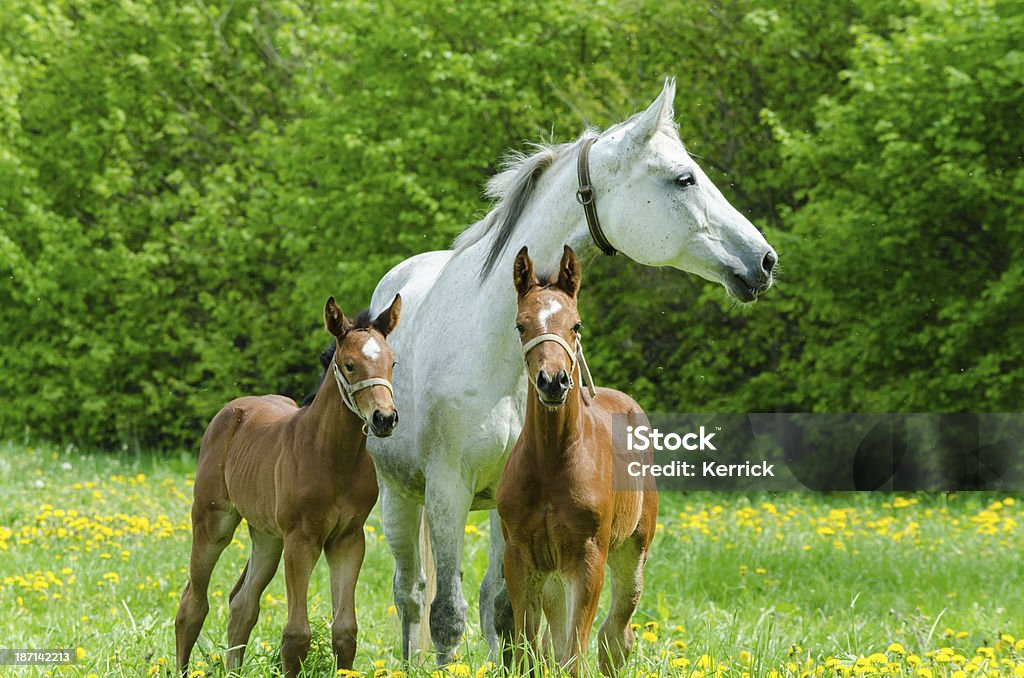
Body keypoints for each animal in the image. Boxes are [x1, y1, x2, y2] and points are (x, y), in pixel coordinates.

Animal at [174, 297, 401, 678]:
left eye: (392, 362)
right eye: (350, 365)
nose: (384, 418)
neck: (332, 456)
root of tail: (232, 409)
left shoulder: (348, 540)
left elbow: (345, 632)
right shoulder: (301, 538)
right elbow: (296, 635)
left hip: (267, 536)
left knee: (243, 604)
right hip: (213, 522)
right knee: (193, 603)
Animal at [495, 246, 655, 675]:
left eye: (576, 324)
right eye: (520, 325)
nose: (554, 381)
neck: (553, 463)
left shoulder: (588, 558)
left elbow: (574, 653)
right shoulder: (519, 556)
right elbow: (526, 647)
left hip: (632, 550)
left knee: (616, 633)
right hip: (553, 573)